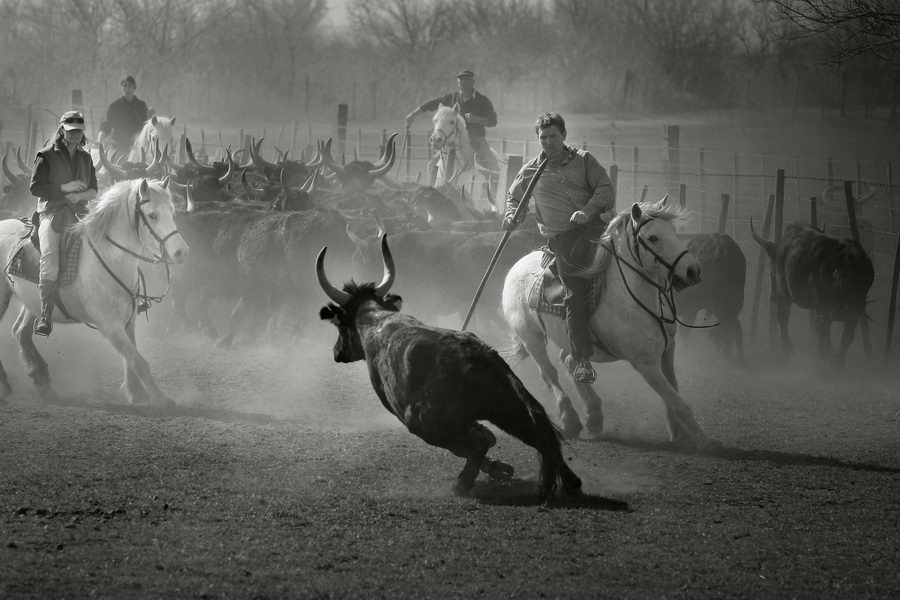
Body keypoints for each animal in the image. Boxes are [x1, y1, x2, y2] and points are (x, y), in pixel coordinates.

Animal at [0, 176, 188, 406]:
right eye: (152, 215)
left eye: (171, 212)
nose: (181, 252)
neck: (110, 258)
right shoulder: (109, 325)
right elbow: (138, 360)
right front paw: (160, 398)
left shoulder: (128, 320)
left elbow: (131, 357)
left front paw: (136, 393)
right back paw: (7, 384)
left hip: (33, 301)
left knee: (20, 332)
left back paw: (41, 378)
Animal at [316, 234, 584, 502]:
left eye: (340, 326)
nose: (336, 352)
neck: (377, 321)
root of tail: (482, 358)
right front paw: (499, 468)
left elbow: (474, 443)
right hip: (510, 411)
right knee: (541, 439)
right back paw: (570, 482)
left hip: (428, 423)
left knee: (477, 445)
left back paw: (462, 484)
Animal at [502, 198, 720, 450]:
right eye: (653, 237)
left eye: (674, 232)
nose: (693, 270)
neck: (633, 299)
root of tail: (516, 267)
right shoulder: (644, 363)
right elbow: (677, 401)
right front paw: (705, 440)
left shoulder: (668, 351)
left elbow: (673, 390)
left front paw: (677, 431)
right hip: (531, 338)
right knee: (550, 374)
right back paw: (571, 420)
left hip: (569, 339)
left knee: (570, 363)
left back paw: (594, 416)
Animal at [680, 233, 748, 366]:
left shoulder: (690, 310)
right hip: (731, 303)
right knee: (732, 327)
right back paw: (735, 356)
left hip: (718, 303)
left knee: (732, 326)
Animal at [752, 221, 872, 366]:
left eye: (771, 269)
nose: (772, 297)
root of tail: (847, 257)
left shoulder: (784, 295)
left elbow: (783, 319)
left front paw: (787, 348)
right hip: (853, 309)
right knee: (844, 335)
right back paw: (837, 362)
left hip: (824, 306)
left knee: (824, 331)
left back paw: (824, 360)